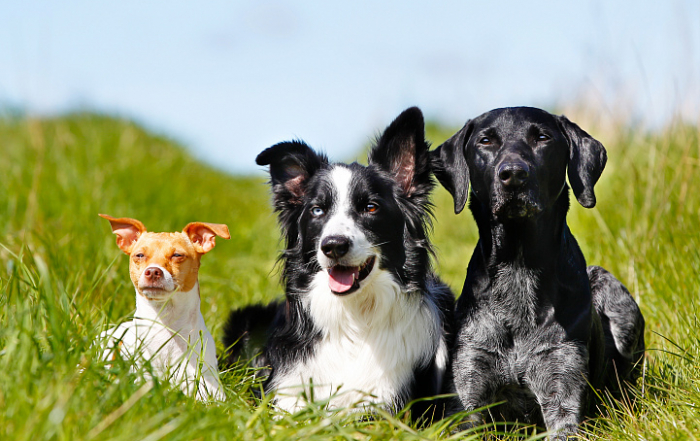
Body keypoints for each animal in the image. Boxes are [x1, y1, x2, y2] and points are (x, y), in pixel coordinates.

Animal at [432, 105, 644, 436]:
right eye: (486, 140)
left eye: (542, 138)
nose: (513, 174)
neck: (518, 267)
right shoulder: (467, 389)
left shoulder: (562, 385)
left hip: (614, 295)